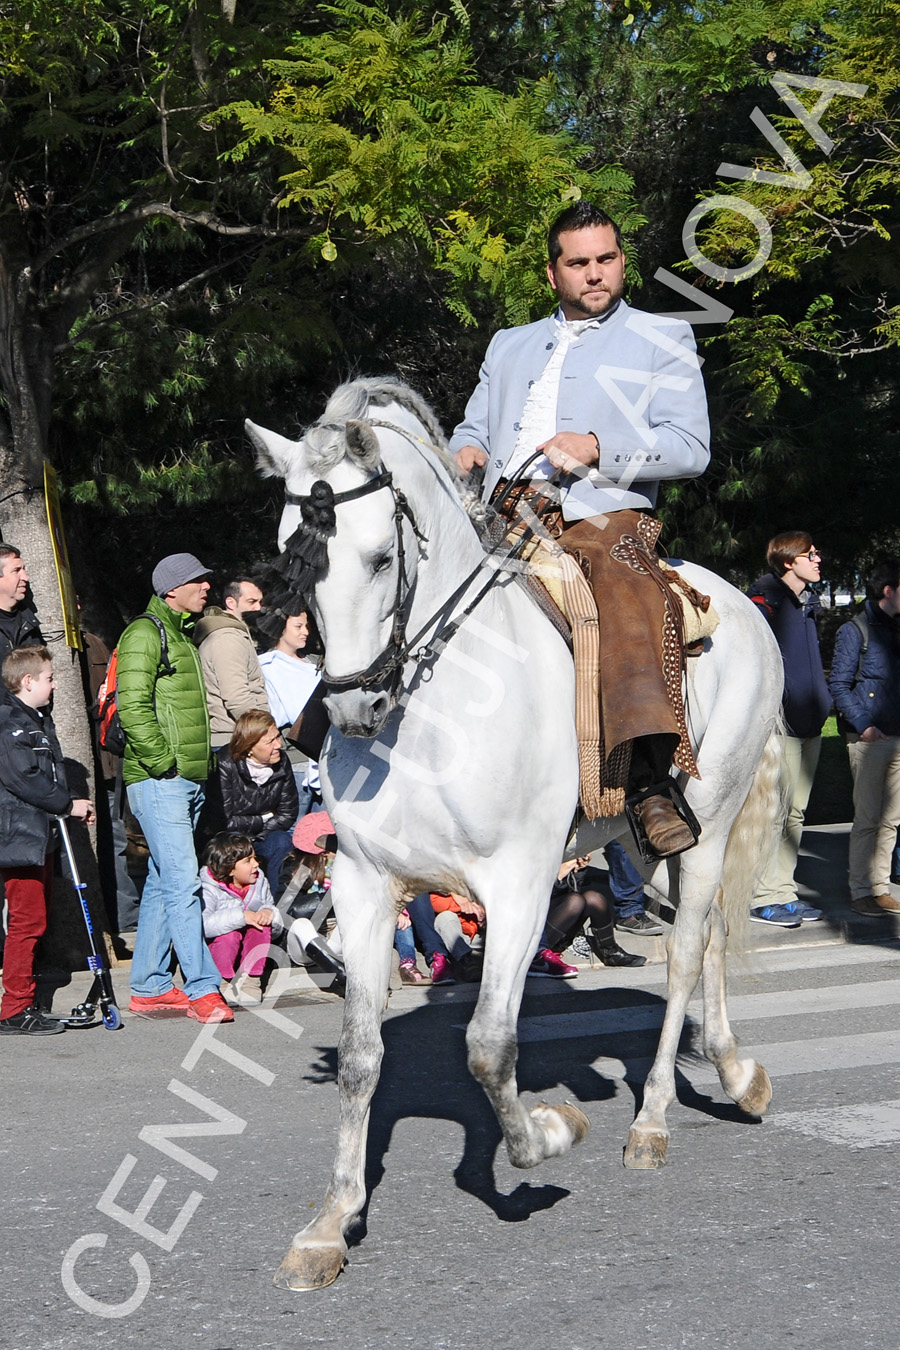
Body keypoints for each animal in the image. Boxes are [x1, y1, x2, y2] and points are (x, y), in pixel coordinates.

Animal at [249, 375, 782, 1290]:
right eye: (293, 559)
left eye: (380, 559)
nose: (354, 707)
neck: (431, 711)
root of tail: (744, 603)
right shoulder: (363, 884)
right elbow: (359, 1054)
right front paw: (331, 1222)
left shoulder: (519, 885)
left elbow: (489, 1047)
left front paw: (550, 1133)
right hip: (646, 839)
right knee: (708, 930)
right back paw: (733, 1069)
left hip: (711, 821)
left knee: (683, 954)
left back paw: (653, 1120)